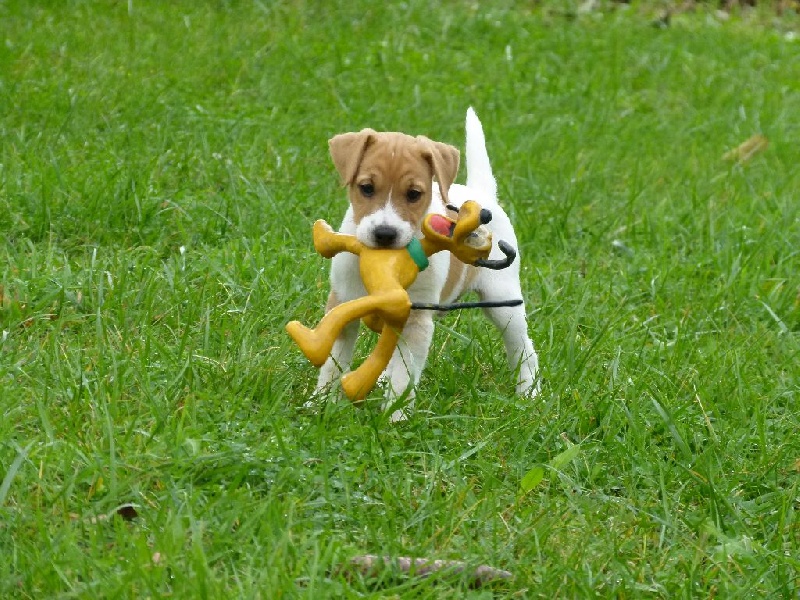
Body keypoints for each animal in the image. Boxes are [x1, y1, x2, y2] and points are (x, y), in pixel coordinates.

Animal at [316, 108, 540, 420]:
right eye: (366, 188)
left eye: (413, 194)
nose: (385, 233)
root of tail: (482, 195)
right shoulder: (343, 302)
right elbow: (333, 362)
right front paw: (319, 404)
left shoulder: (417, 320)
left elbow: (404, 376)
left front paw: (395, 418)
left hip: (504, 302)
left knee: (524, 349)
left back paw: (530, 394)